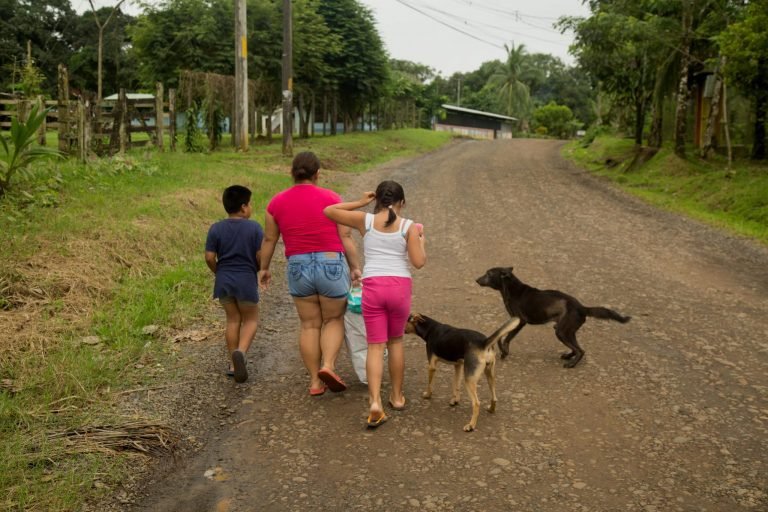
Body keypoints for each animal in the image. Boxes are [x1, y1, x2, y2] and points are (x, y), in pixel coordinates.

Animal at [474, 268, 632, 368]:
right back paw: (568, 356)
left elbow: (506, 338)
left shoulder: (520, 321)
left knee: (581, 351)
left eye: (488, 273)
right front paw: (503, 351)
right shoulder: (514, 321)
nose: (476, 280)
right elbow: (501, 337)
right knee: (577, 348)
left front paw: (505, 352)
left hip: (562, 331)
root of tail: (582, 308)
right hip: (566, 331)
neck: (511, 289)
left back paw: (571, 364)